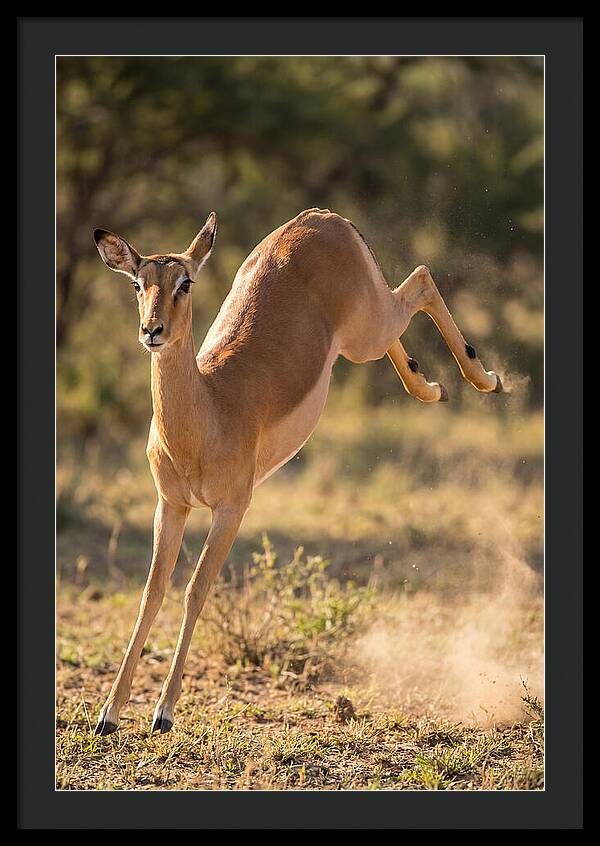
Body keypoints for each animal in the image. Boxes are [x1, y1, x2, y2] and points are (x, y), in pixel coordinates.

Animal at [92, 208, 502, 736]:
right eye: (138, 284)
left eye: (185, 282)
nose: (152, 331)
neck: (208, 410)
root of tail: (323, 217)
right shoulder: (171, 504)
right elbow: (151, 593)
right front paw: (108, 713)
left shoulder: (232, 508)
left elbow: (195, 589)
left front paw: (163, 712)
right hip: (362, 335)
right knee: (408, 310)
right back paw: (432, 387)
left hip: (366, 330)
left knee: (423, 279)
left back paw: (485, 379)